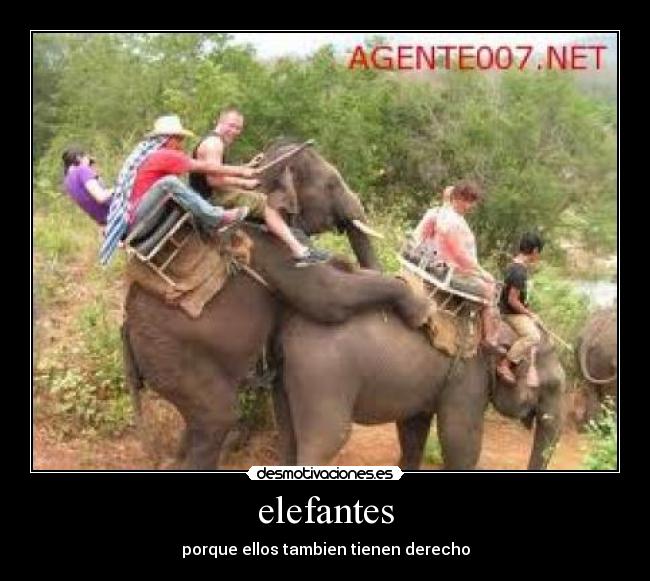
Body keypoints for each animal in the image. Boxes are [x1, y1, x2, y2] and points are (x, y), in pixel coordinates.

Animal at [274, 311, 566, 470]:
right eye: (554, 386)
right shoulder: (467, 381)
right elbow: (461, 442)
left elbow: (413, 432)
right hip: (325, 376)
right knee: (325, 441)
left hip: (292, 378)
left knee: (288, 435)